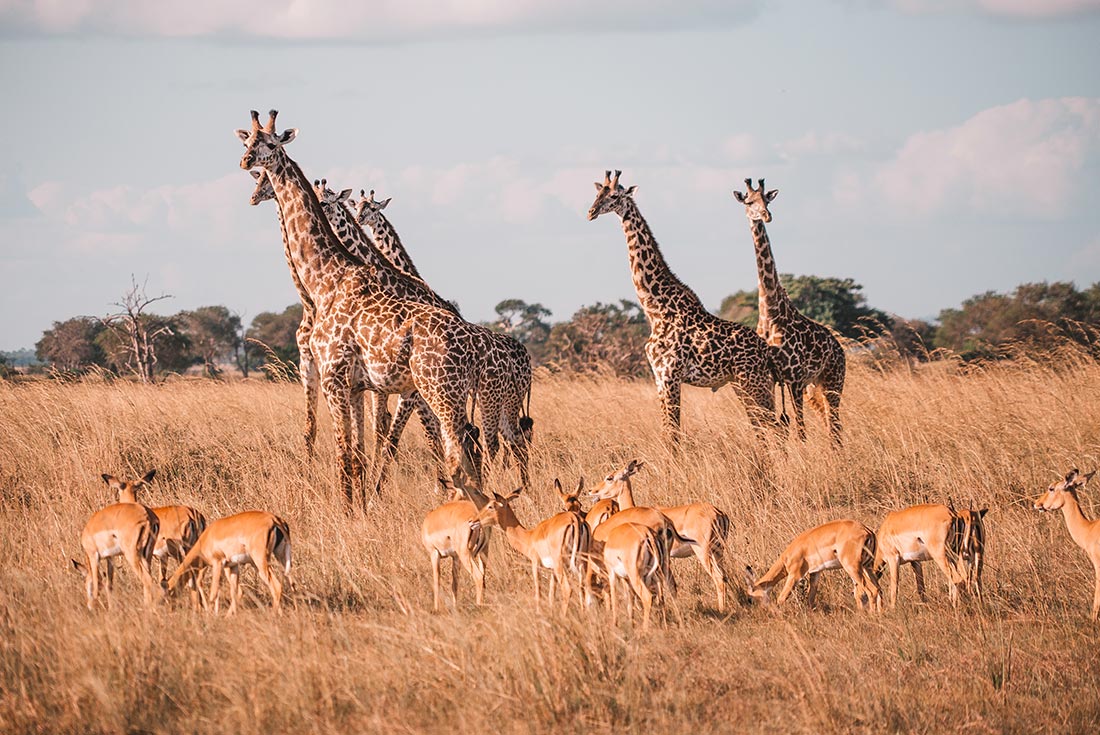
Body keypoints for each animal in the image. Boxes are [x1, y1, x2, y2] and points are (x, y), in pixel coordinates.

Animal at [237, 110, 485, 506]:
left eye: (271, 144)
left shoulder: (335, 379)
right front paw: (362, 507)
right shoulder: (353, 385)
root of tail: (471, 342)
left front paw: (352, 510)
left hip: (434, 392)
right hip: (443, 394)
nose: (246, 163)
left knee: (457, 456)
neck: (323, 281)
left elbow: (347, 454)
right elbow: (355, 453)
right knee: (468, 450)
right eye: (248, 141)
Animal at [313, 180, 531, 489]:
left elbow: (404, 435)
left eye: (329, 201)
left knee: (504, 440)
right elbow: (393, 430)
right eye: (357, 206)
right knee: (507, 439)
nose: (359, 219)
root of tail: (526, 356)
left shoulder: (410, 388)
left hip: (500, 397)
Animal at [587, 170, 780, 442]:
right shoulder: (658, 377)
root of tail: (767, 351)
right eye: (597, 193)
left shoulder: (670, 375)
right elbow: (669, 431)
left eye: (614, 195)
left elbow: (673, 434)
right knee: (762, 428)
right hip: (742, 384)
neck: (655, 309)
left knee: (775, 427)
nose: (591, 212)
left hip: (754, 381)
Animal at [733, 178, 845, 443]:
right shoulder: (774, 378)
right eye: (749, 202)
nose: (766, 215)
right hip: (815, 388)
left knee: (835, 427)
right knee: (829, 423)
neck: (770, 313)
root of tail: (841, 350)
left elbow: (800, 431)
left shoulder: (794, 378)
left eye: (767, 200)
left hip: (833, 383)